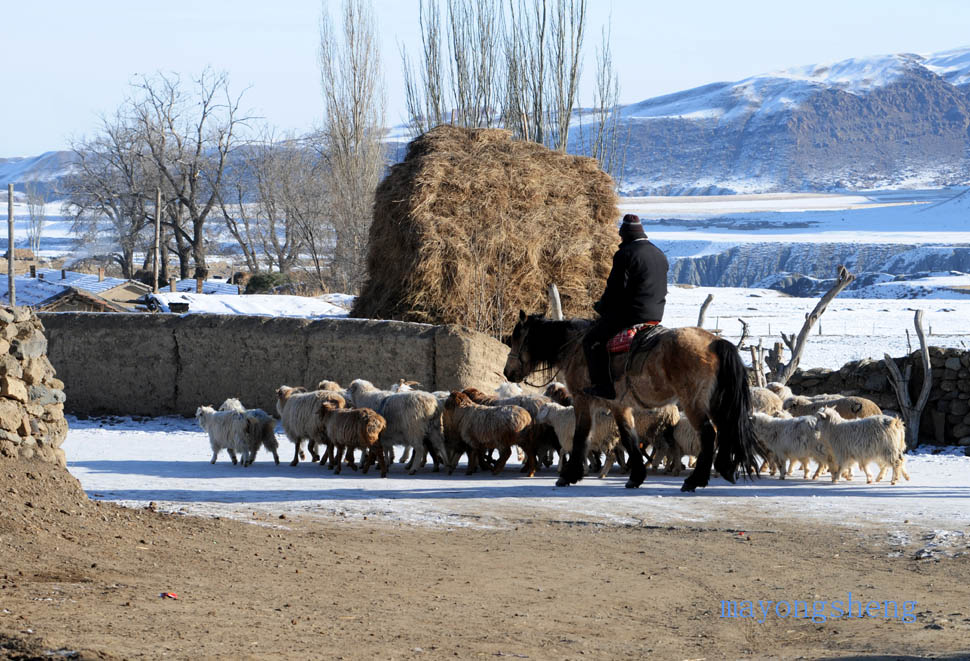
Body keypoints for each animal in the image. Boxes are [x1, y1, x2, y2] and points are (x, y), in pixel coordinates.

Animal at [502, 312, 760, 492]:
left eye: (517, 338)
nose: (508, 372)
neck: (575, 346)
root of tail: (714, 341)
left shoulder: (584, 400)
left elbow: (582, 436)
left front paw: (569, 475)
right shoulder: (620, 407)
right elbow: (629, 438)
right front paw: (636, 477)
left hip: (694, 403)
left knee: (708, 435)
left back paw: (694, 481)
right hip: (716, 403)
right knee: (725, 431)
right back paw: (723, 469)